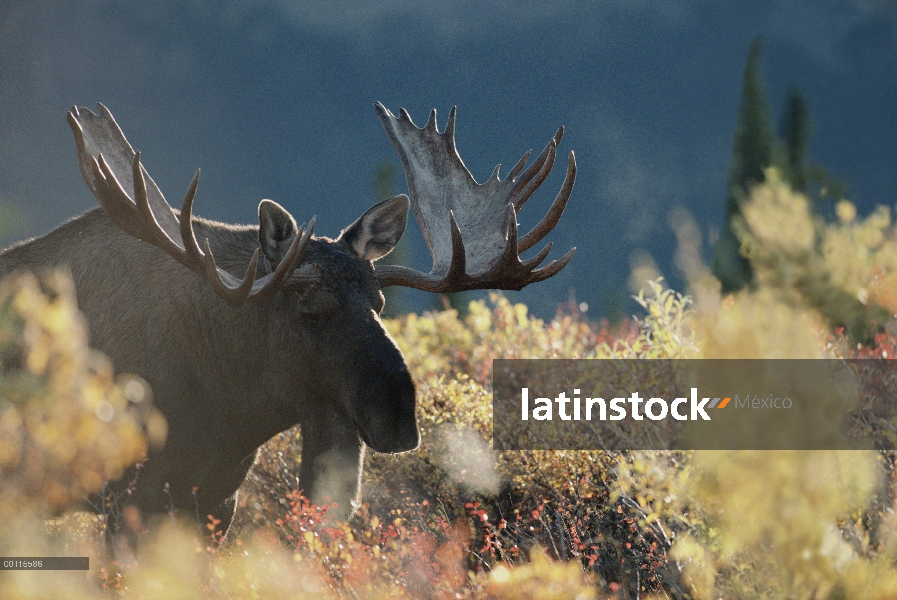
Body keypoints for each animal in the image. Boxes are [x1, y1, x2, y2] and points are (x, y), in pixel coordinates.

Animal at [0, 103, 576, 540]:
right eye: (312, 308)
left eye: (379, 303)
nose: (397, 410)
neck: (231, 411)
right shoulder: (131, 496)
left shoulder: (216, 501)